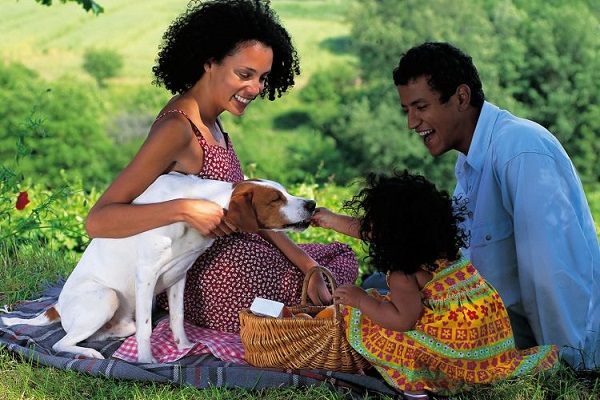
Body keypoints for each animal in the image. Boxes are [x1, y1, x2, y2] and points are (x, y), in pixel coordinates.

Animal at [1, 172, 318, 362]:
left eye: (286, 192)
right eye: (276, 199)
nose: (312, 203)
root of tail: (56, 306)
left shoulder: (180, 275)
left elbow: (177, 318)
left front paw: (185, 348)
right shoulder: (146, 276)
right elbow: (146, 329)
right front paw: (147, 362)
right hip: (108, 296)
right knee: (61, 343)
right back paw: (89, 354)